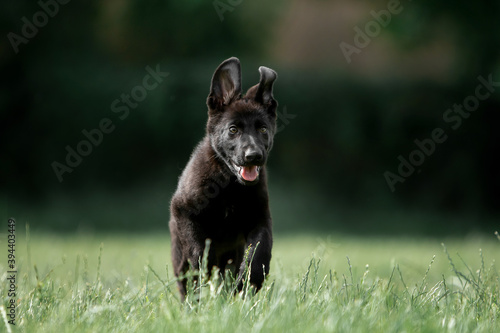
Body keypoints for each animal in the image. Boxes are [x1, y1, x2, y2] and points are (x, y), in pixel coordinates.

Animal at [168, 55, 278, 300]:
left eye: (263, 130)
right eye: (233, 130)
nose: (253, 156)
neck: (230, 186)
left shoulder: (260, 218)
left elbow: (259, 252)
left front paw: (249, 283)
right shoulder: (184, 211)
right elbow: (199, 251)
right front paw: (206, 270)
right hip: (178, 255)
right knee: (186, 281)